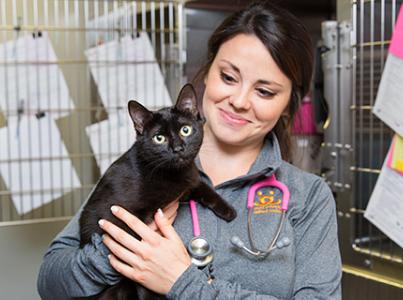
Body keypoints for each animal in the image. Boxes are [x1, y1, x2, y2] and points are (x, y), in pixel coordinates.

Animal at [78, 83, 237, 298]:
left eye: (186, 130)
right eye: (159, 138)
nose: (178, 148)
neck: (172, 174)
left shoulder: (187, 182)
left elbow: (202, 186)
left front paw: (228, 210)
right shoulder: (121, 220)